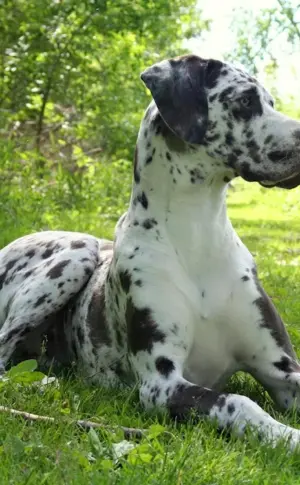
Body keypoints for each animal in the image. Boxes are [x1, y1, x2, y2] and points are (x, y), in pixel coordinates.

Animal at [1, 54, 300, 448]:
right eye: (246, 100)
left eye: (271, 101)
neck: (197, 232)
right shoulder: (161, 383)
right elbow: (239, 403)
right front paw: (289, 437)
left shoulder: (280, 367)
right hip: (76, 254)